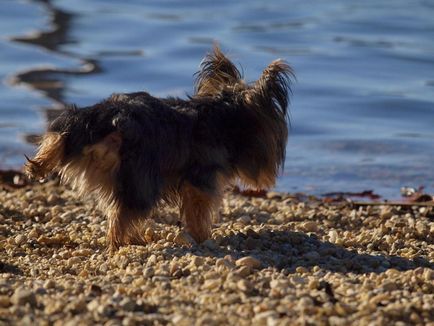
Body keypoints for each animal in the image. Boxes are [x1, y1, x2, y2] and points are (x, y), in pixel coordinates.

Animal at [24, 45, 294, 251]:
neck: (221, 114)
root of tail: (103, 118)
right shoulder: (200, 181)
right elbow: (198, 213)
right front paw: (202, 238)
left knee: (117, 209)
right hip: (141, 178)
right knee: (124, 215)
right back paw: (123, 243)